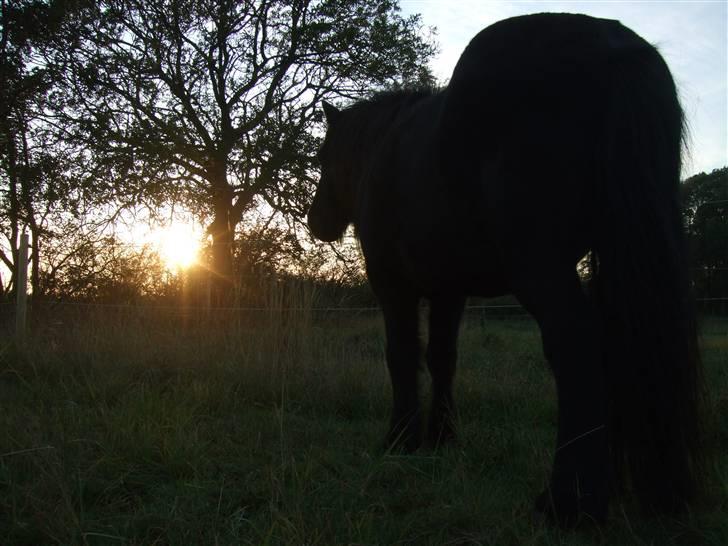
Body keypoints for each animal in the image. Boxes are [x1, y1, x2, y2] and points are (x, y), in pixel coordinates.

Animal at [306, 11, 700, 524]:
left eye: (324, 156)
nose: (316, 222)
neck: (385, 147)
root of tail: (613, 46)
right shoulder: (448, 290)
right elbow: (443, 357)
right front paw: (441, 437)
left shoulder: (392, 284)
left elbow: (401, 354)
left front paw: (400, 438)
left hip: (540, 266)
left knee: (576, 345)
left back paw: (568, 501)